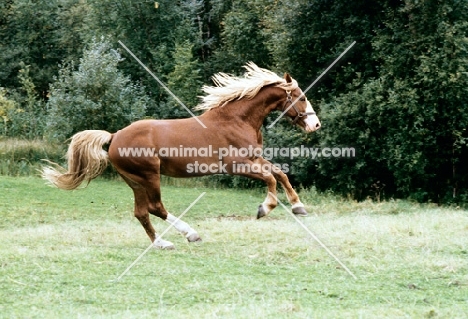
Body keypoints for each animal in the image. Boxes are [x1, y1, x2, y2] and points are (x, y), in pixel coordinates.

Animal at [42, 63, 320, 250]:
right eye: (302, 97)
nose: (315, 125)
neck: (236, 120)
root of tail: (114, 136)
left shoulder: (254, 160)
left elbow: (279, 173)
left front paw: (298, 206)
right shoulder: (236, 165)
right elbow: (270, 179)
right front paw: (265, 208)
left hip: (135, 181)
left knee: (141, 212)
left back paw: (162, 243)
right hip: (149, 175)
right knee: (155, 207)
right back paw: (190, 234)